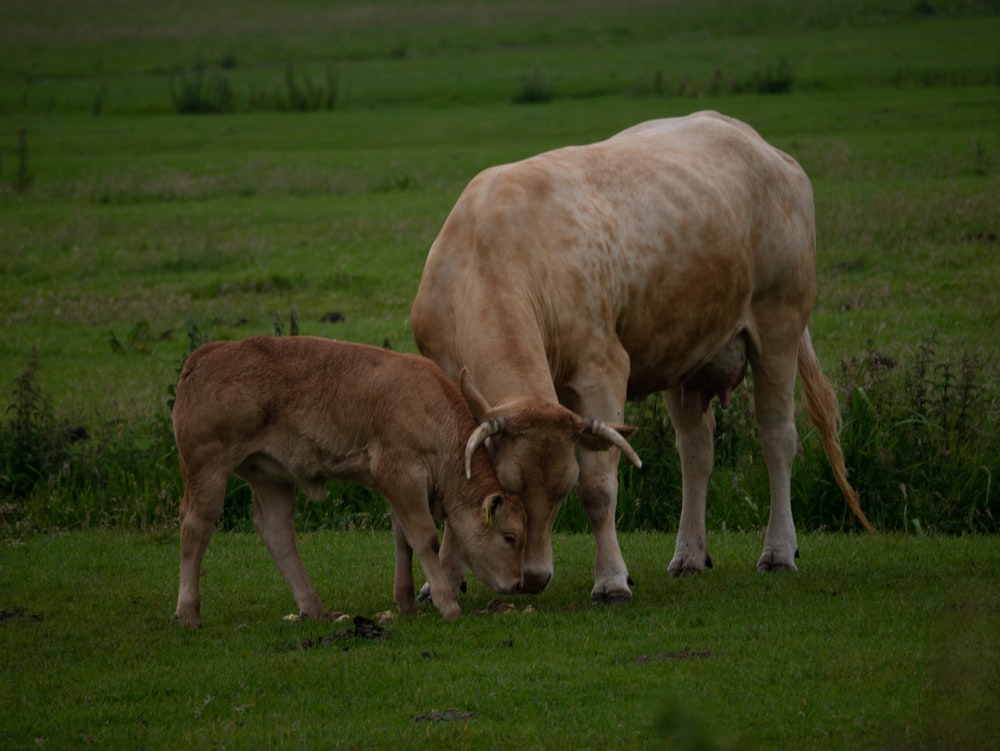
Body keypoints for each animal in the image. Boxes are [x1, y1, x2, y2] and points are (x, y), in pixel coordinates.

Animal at [410, 110, 872, 604]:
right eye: (508, 487)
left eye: (562, 489)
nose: (534, 578)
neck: (488, 254)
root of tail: (753, 139)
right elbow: (457, 482)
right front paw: (440, 581)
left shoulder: (601, 370)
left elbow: (598, 489)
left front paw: (612, 579)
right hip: (685, 354)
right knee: (696, 451)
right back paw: (689, 555)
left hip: (779, 325)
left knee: (778, 439)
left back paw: (779, 550)